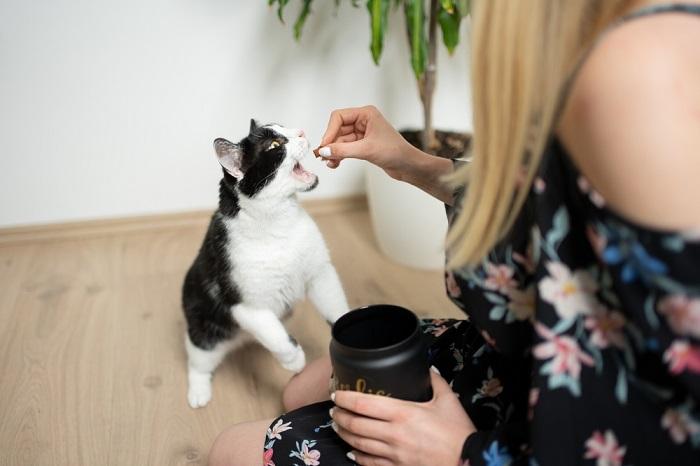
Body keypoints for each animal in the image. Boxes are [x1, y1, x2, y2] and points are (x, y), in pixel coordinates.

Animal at [183, 120, 350, 408]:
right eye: (274, 145)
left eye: (287, 128)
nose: (301, 132)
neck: (279, 223)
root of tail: (243, 339)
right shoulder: (247, 306)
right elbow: (277, 338)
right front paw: (296, 362)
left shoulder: (320, 273)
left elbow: (335, 307)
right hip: (206, 330)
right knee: (198, 360)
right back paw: (199, 393)